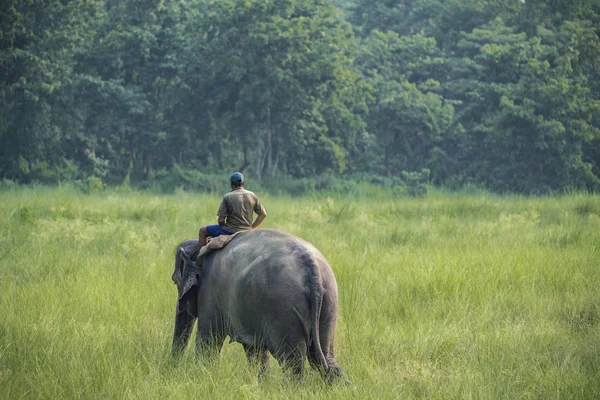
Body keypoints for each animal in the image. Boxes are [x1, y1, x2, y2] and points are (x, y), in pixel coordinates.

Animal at [170, 227, 346, 382]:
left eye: (175, 280)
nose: (173, 365)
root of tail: (312, 269)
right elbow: (254, 350)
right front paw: (261, 383)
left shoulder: (210, 293)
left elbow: (208, 341)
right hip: (329, 300)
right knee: (323, 356)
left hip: (282, 307)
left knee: (292, 362)